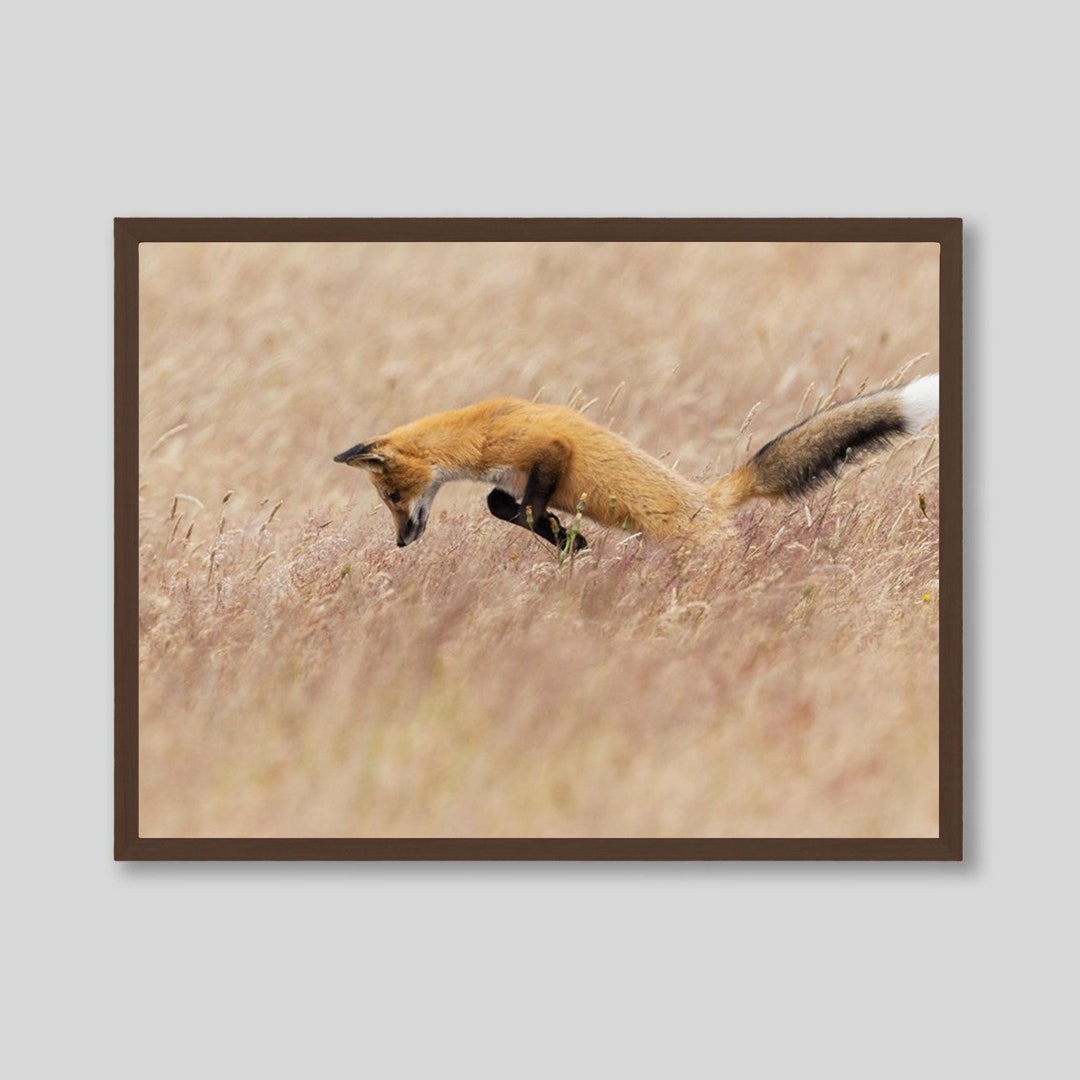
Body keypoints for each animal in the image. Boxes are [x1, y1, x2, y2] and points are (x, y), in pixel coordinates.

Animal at [334, 373, 939, 551]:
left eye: (393, 498)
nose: (401, 544)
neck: (478, 435)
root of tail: (711, 497)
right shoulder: (515, 476)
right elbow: (501, 505)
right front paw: (565, 538)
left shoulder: (545, 448)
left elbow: (519, 508)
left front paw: (564, 539)